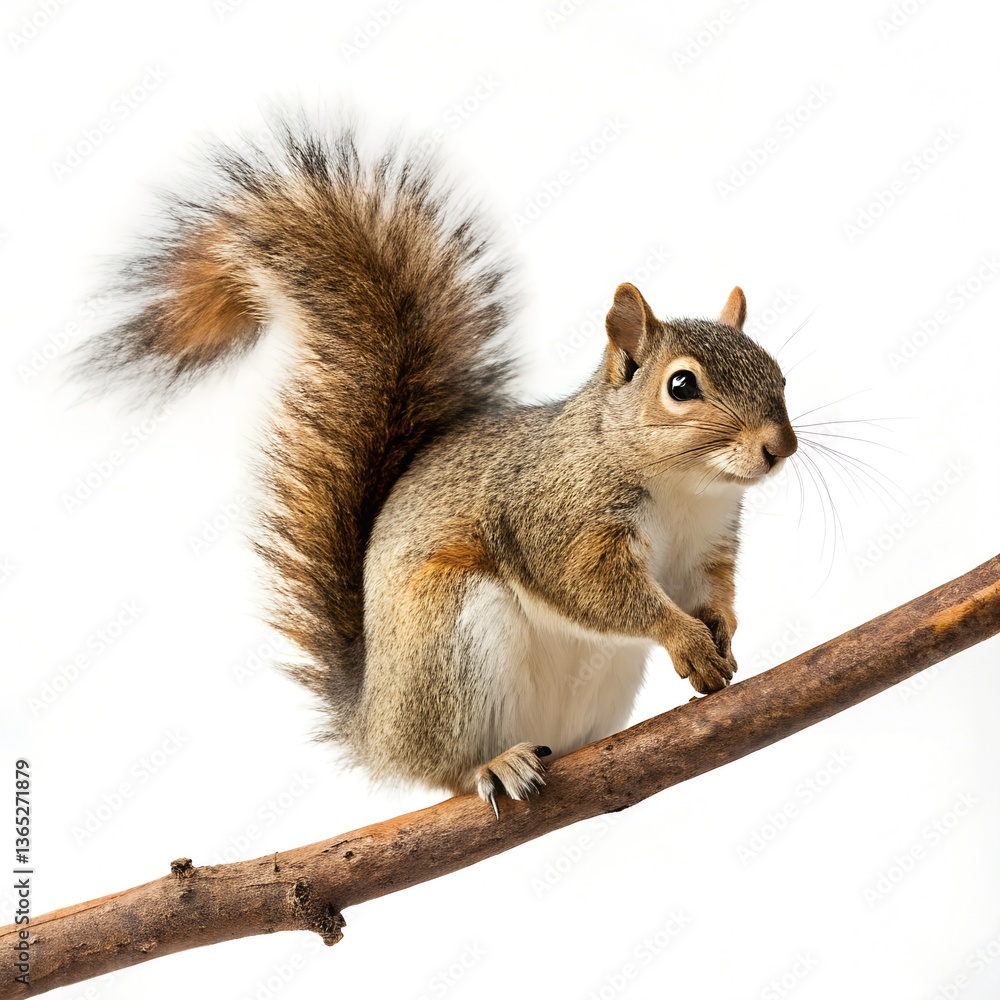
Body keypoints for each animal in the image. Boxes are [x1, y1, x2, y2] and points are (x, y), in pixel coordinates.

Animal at [79, 120, 797, 814]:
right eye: (681, 386)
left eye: (779, 373)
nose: (779, 447)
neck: (685, 489)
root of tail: (374, 725)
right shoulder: (557, 517)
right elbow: (595, 589)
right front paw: (683, 636)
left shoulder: (706, 547)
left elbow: (711, 590)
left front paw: (721, 632)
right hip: (450, 636)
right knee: (441, 770)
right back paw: (491, 766)